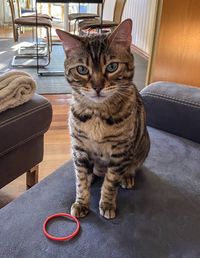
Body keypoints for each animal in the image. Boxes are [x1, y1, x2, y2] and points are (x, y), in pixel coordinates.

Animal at [56, 19, 150, 219]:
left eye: (112, 67)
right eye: (82, 69)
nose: (97, 87)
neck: (97, 113)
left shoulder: (120, 151)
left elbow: (110, 182)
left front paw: (107, 203)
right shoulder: (79, 148)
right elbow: (80, 181)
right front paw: (81, 202)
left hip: (143, 145)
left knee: (131, 166)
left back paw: (127, 177)